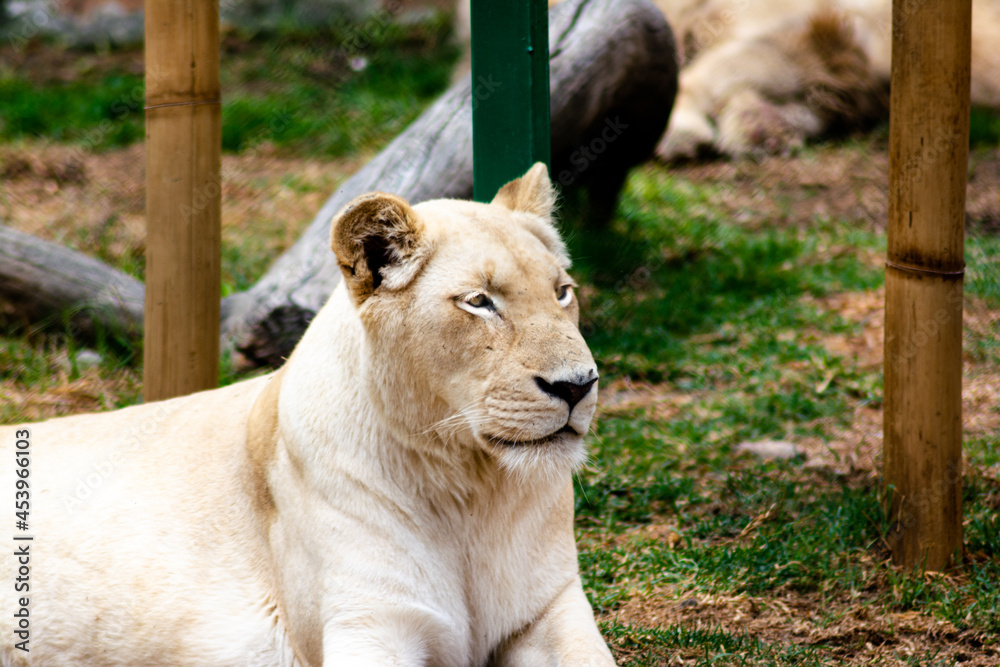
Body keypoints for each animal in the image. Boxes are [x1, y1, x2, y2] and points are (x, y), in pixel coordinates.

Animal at [1, 163, 616, 666]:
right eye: (479, 301)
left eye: (563, 292)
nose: (578, 386)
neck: (470, 489)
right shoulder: (370, 621)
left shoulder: (551, 608)